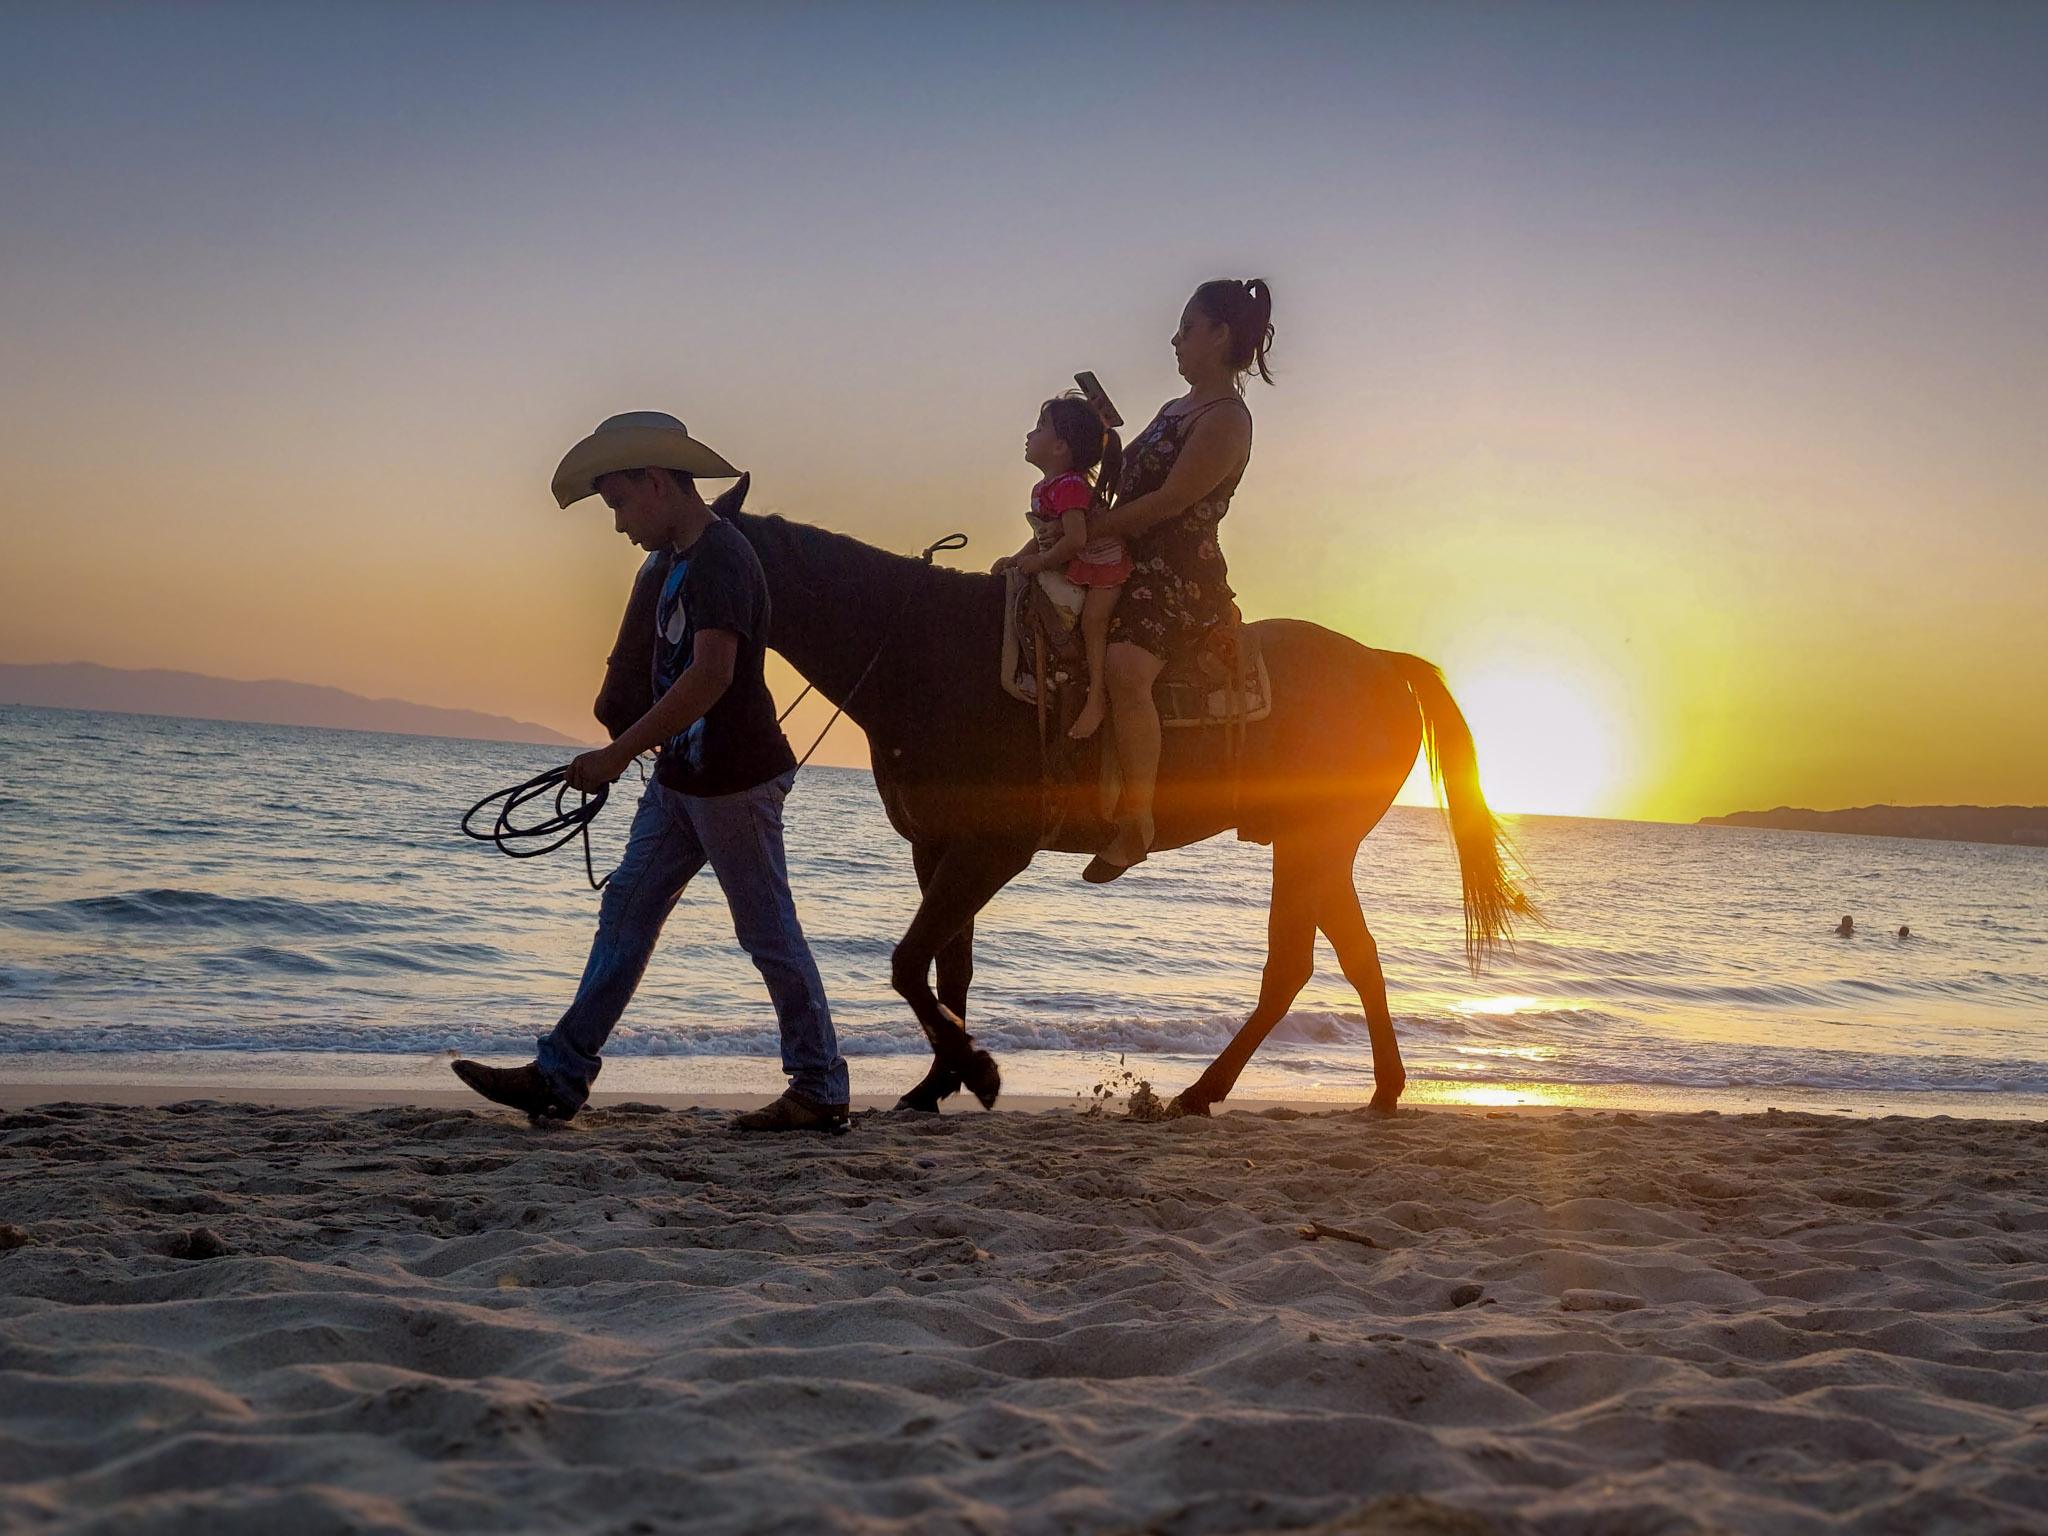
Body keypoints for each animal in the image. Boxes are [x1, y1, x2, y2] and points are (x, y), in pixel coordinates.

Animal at [593, 483, 1523, 1122]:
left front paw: (978, 1073)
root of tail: (1384, 662)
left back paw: (1204, 1091)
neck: (923, 655)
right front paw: (937, 1082)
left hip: (1313, 844)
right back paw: (1380, 1088)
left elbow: (907, 962)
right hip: (1319, 847)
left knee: (1292, 966)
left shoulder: (994, 849)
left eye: (673, 584)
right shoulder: (937, 848)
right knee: (1353, 959)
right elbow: (948, 967)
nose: (613, 706)